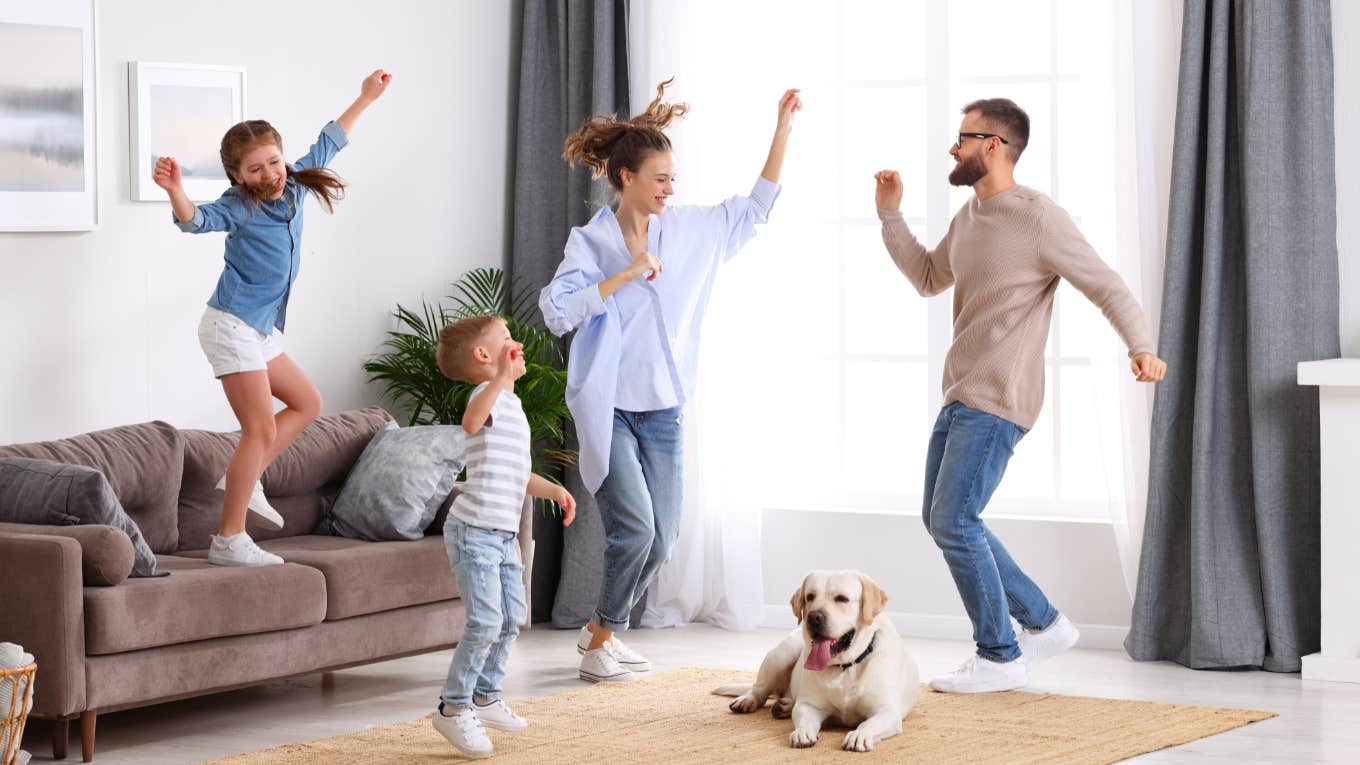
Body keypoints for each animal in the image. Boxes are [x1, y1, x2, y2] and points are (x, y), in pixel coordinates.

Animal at [712, 568, 924, 745]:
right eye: (810, 597)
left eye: (842, 598)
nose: (813, 617)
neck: (844, 668)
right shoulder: (809, 705)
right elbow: (804, 718)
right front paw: (802, 732)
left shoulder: (887, 711)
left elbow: (868, 723)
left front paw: (859, 735)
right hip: (782, 653)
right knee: (760, 689)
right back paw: (749, 700)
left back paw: (784, 706)